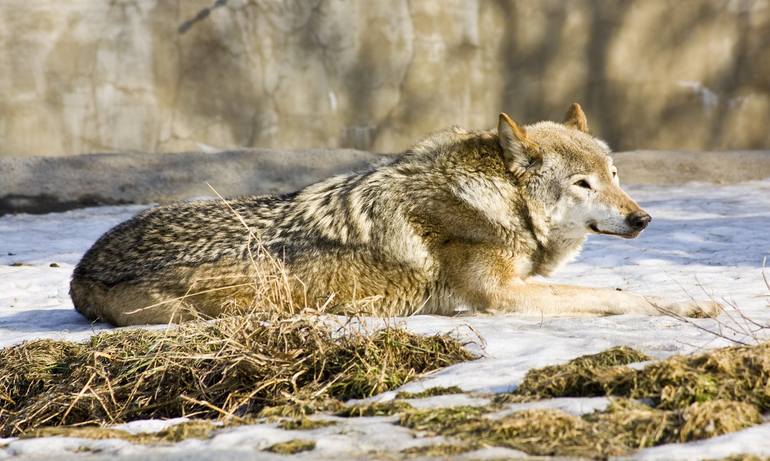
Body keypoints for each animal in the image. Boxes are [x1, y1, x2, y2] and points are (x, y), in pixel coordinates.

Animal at [70, 104, 712, 328]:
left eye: (615, 176)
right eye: (582, 184)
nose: (643, 219)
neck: (498, 201)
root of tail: (80, 268)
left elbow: (622, 288)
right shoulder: (501, 295)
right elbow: (612, 294)